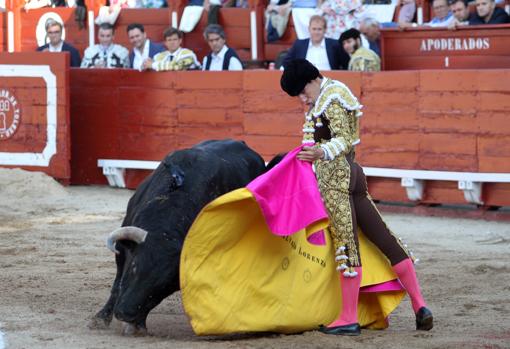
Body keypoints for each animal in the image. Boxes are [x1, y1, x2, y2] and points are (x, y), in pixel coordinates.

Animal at [89, 139, 268, 334]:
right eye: (135, 266)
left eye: (164, 286)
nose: (125, 314)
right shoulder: (122, 249)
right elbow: (117, 283)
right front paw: (101, 318)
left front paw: (138, 324)